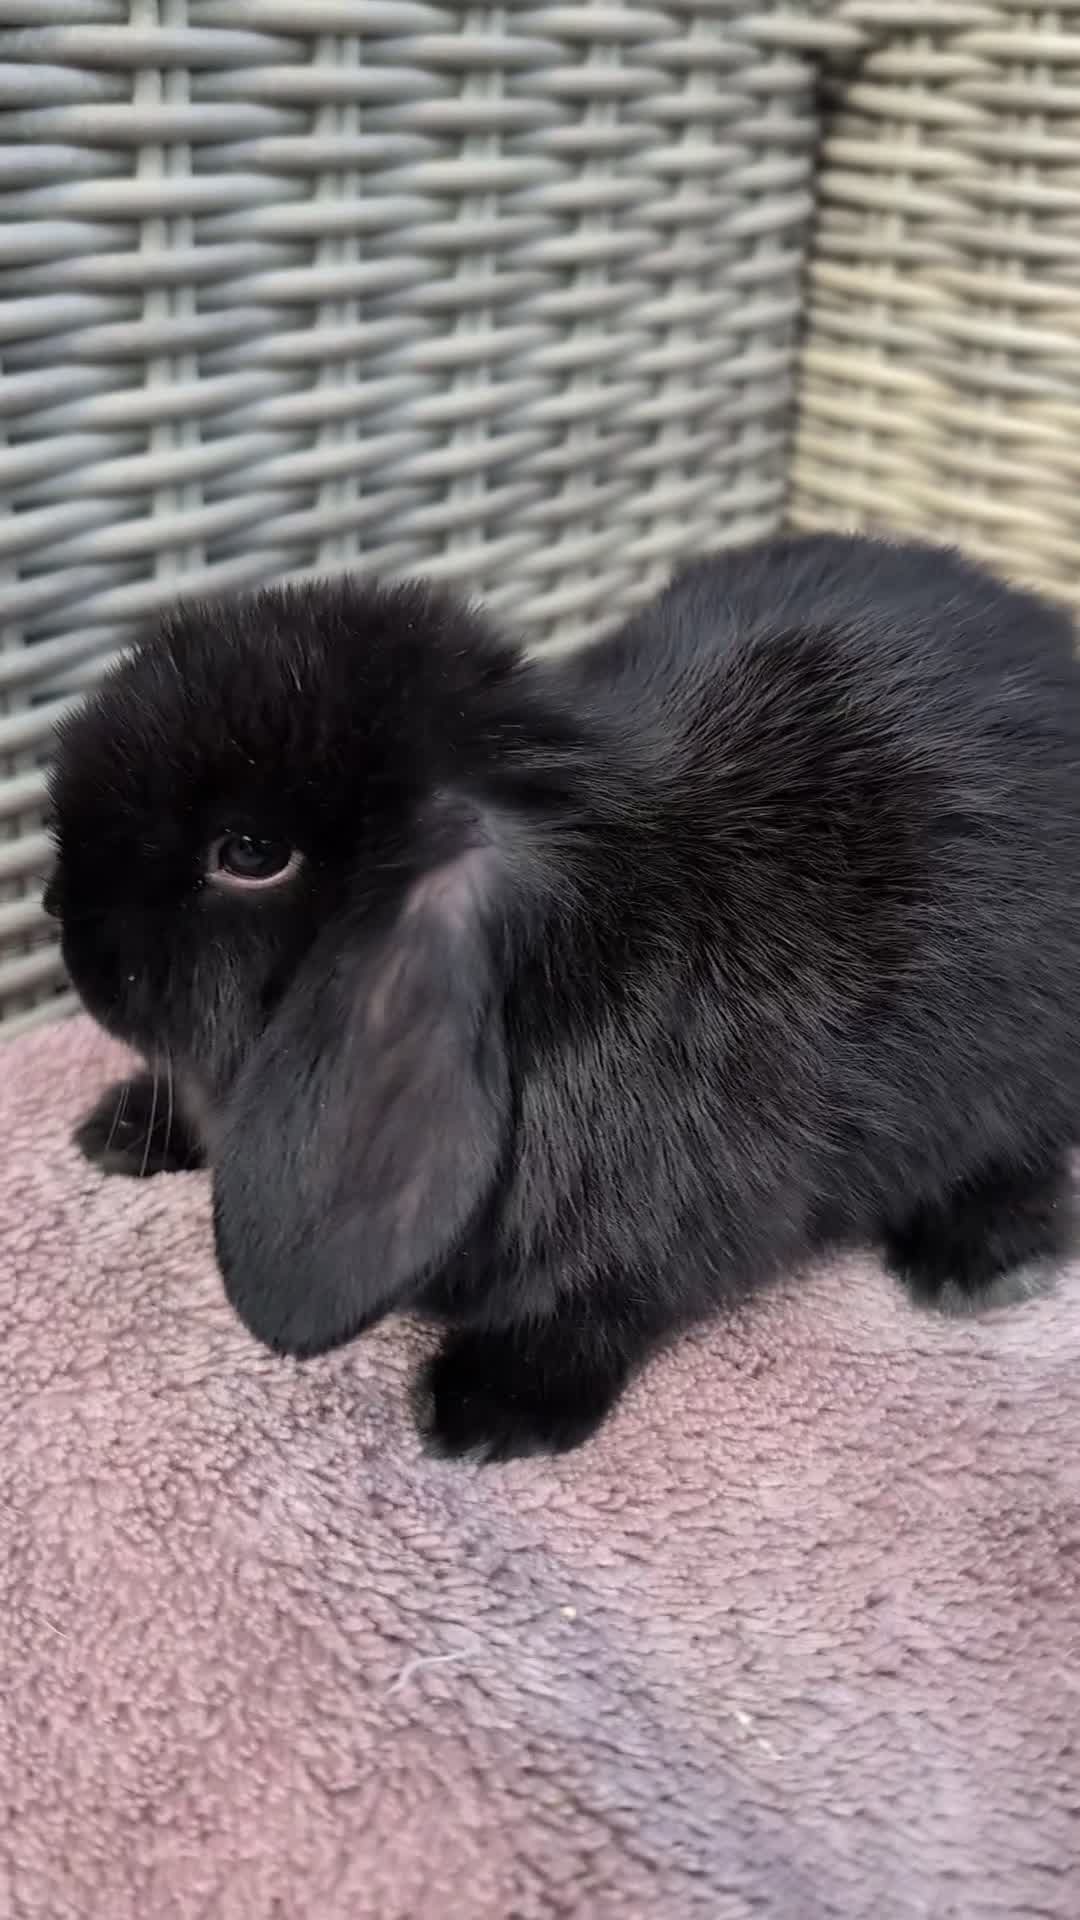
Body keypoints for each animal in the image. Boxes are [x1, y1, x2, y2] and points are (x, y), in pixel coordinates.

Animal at [45, 533, 1080, 1460]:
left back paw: (982, 1261)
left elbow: (604, 1301)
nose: (62, 920)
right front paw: (123, 1126)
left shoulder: (679, 1216)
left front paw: (484, 1410)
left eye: (251, 853)